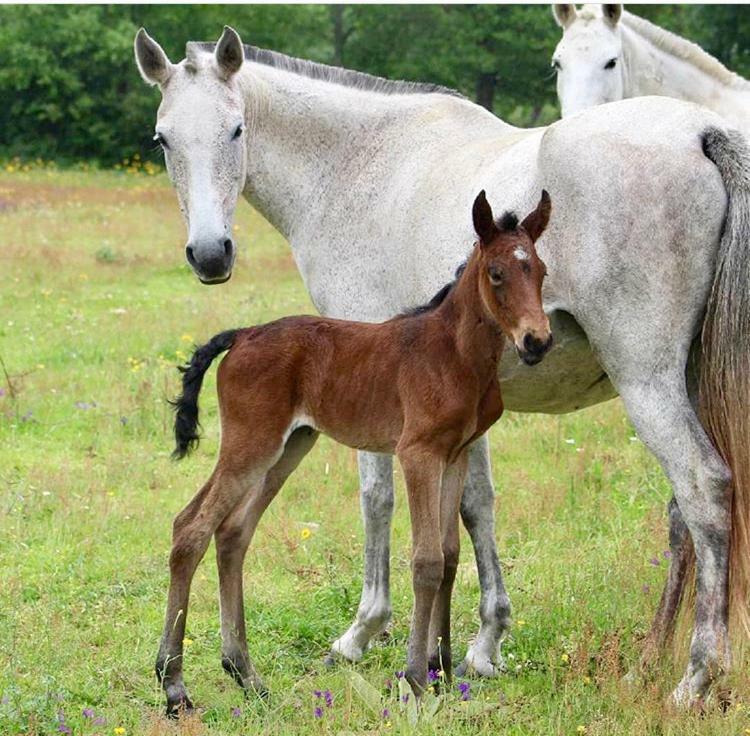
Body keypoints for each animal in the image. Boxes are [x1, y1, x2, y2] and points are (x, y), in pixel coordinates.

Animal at [159, 190, 556, 712]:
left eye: (541, 270)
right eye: (496, 274)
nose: (538, 341)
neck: (454, 354)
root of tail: (242, 335)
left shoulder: (456, 453)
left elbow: (449, 555)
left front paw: (443, 669)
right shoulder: (417, 452)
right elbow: (426, 560)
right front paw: (415, 679)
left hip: (289, 446)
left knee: (233, 533)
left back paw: (245, 673)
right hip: (252, 443)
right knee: (191, 528)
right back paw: (174, 685)